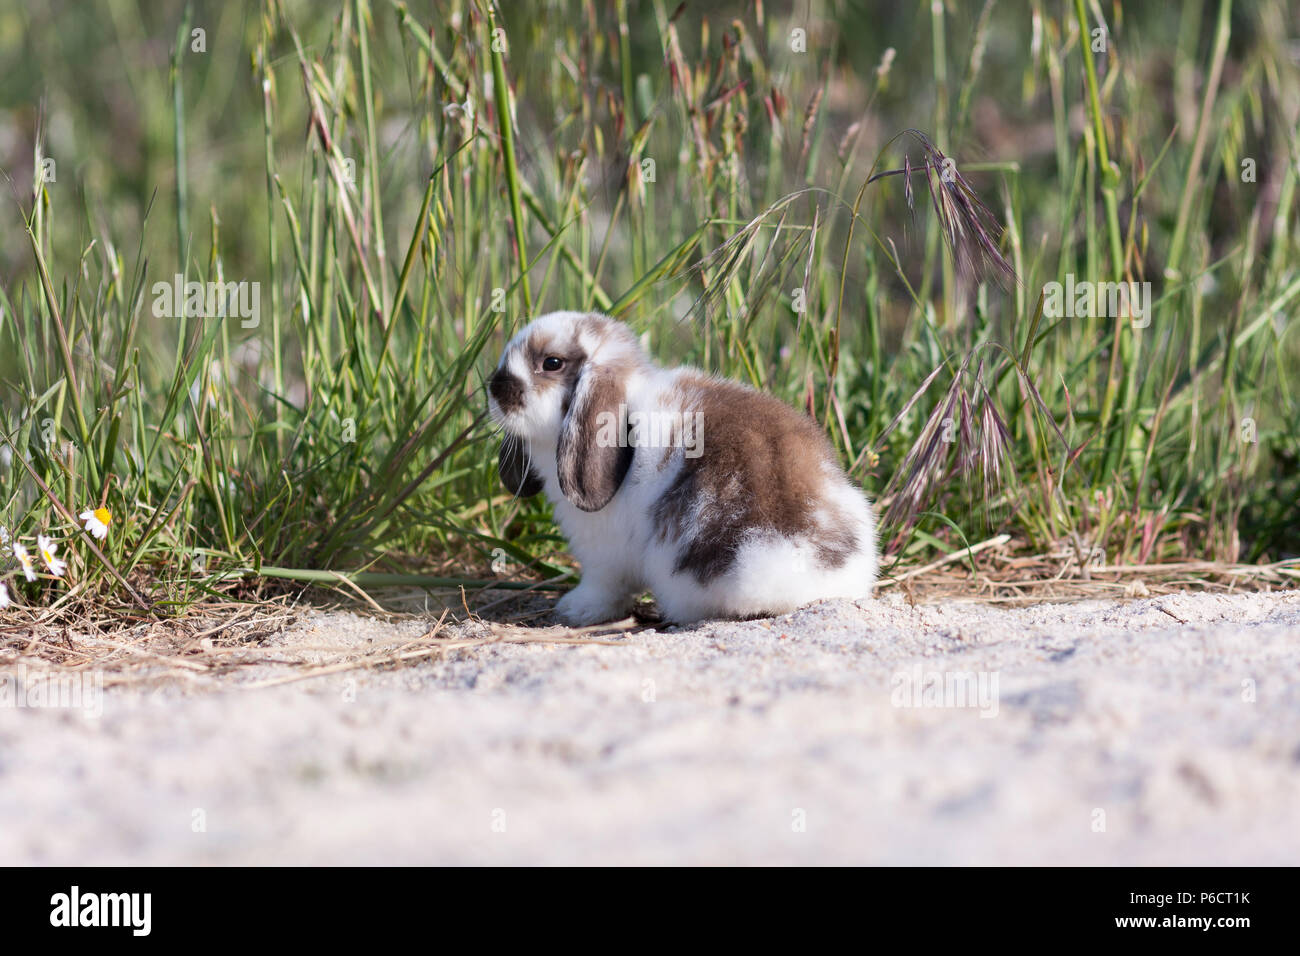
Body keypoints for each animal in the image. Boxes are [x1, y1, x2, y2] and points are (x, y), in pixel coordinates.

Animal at [487, 311, 878, 625]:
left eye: (551, 363)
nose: (494, 388)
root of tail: (794, 558)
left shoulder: (602, 555)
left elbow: (604, 586)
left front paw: (575, 609)